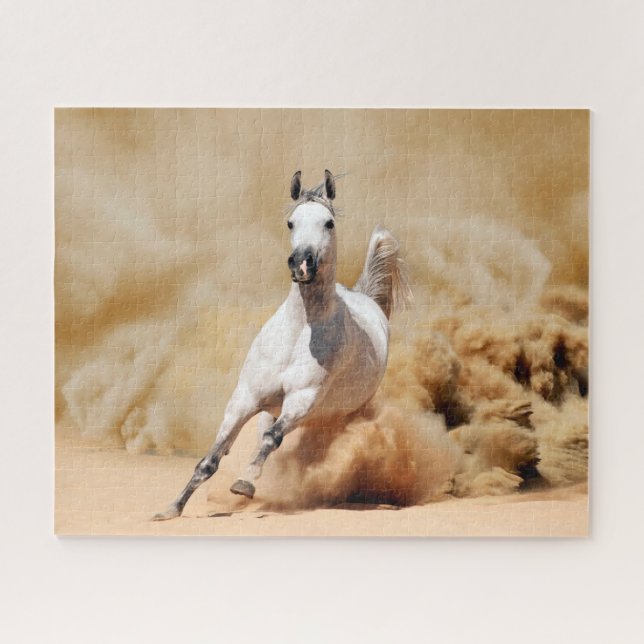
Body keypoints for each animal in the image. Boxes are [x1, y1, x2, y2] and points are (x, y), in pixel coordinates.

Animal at [153, 170, 408, 520]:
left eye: (329, 222)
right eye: (291, 222)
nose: (301, 263)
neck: (299, 333)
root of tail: (366, 298)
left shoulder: (302, 400)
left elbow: (271, 440)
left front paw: (244, 481)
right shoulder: (245, 398)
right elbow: (211, 459)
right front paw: (171, 509)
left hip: (340, 413)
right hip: (272, 408)